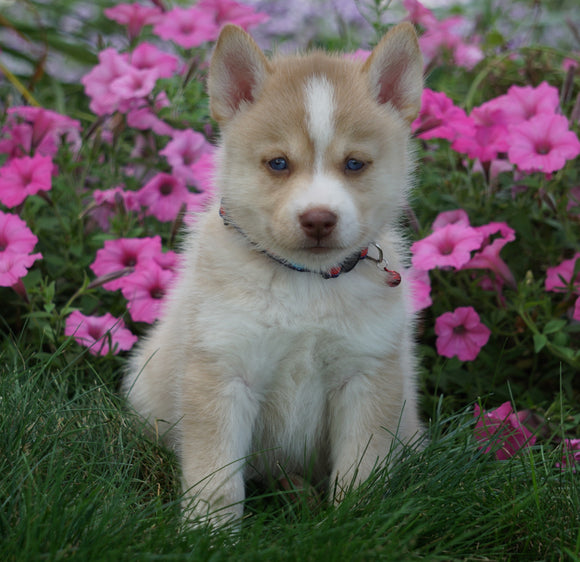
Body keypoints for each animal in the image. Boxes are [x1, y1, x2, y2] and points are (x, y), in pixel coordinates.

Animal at [124, 21, 424, 528]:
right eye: (278, 163)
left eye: (355, 163)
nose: (319, 219)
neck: (306, 282)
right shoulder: (224, 372)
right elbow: (217, 480)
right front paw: (208, 534)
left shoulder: (366, 376)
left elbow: (361, 470)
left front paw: (354, 523)